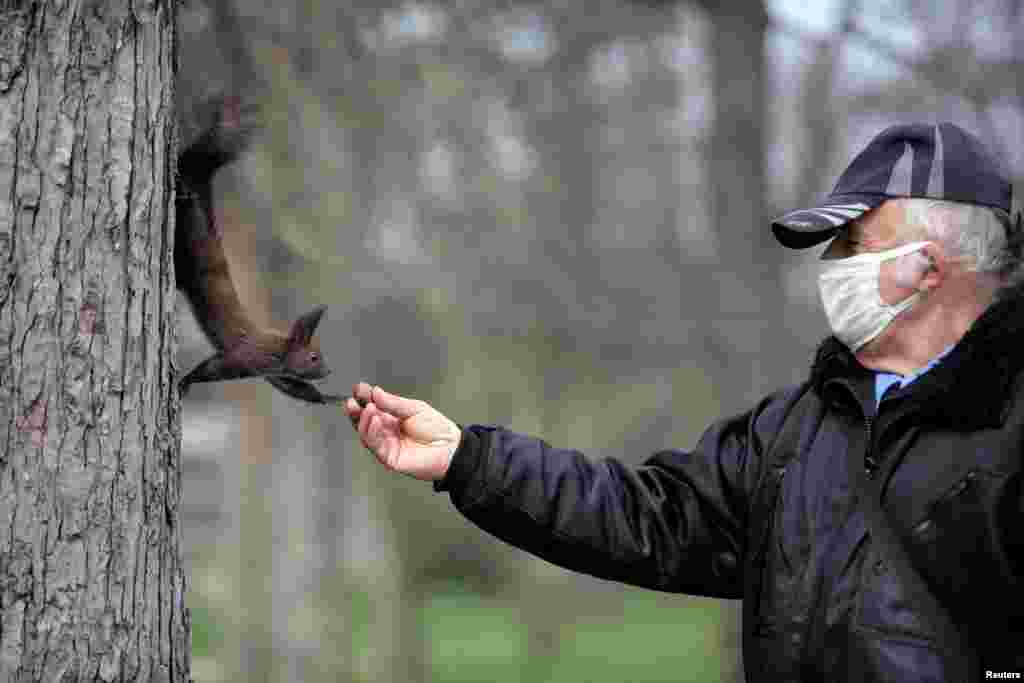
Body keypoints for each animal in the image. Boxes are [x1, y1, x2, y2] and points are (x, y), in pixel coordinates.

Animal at [175, 97, 343, 404]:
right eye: (314, 357)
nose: (329, 371)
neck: (281, 353)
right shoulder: (249, 357)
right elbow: (212, 368)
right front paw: (186, 380)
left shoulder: (276, 373)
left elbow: (296, 389)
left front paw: (330, 397)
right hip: (192, 245)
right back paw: (184, 193)